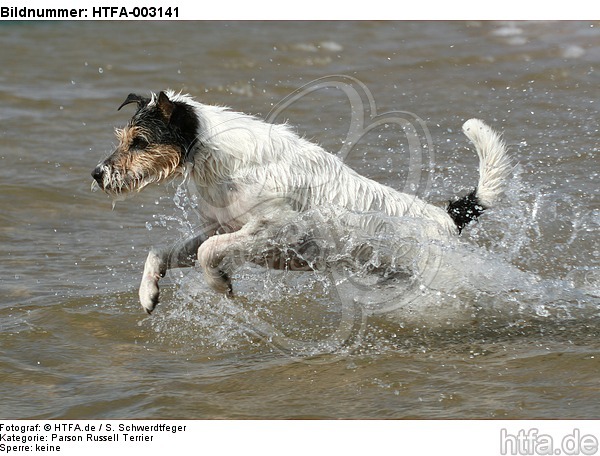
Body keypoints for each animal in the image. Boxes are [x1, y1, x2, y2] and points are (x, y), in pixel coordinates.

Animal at [92, 91, 510, 316]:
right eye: (123, 138)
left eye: (140, 142)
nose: (96, 173)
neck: (222, 160)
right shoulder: (220, 226)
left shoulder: (276, 230)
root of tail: (446, 218)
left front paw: (220, 283)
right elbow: (161, 251)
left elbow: (211, 252)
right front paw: (148, 293)